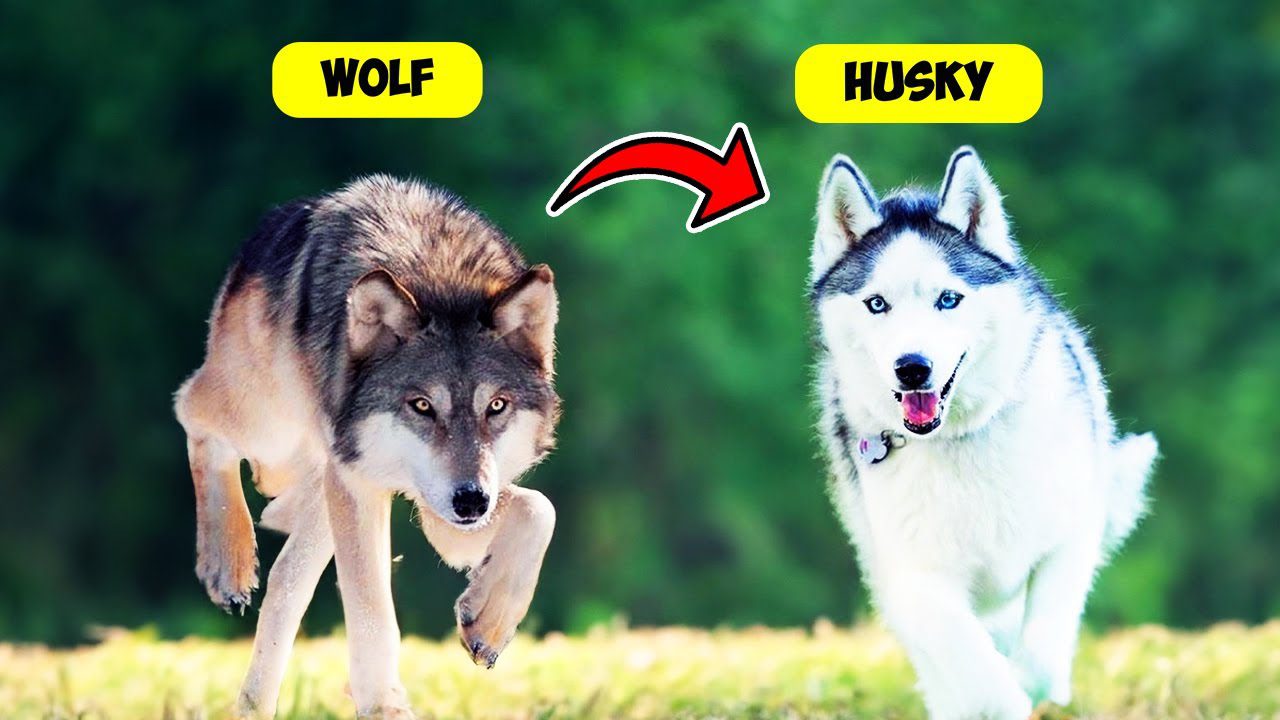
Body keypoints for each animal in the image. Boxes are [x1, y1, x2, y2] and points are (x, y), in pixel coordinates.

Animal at [174, 175, 560, 719]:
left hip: (324, 483)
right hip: (268, 424)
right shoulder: (361, 486)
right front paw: (383, 706)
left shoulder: (441, 510)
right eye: (422, 405)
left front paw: (489, 622)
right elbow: (373, 612)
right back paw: (226, 565)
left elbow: (539, 508)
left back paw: (255, 704)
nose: (471, 501)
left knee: (286, 580)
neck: (438, 272)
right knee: (193, 410)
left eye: (497, 406)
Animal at [810, 147, 1156, 719]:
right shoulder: (918, 580)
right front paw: (996, 696)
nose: (913, 368)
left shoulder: (1070, 537)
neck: (960, 439)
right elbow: (976, 676)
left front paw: (1033, 685)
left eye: (949, 299)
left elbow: (1038, 661)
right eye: (877, 303)